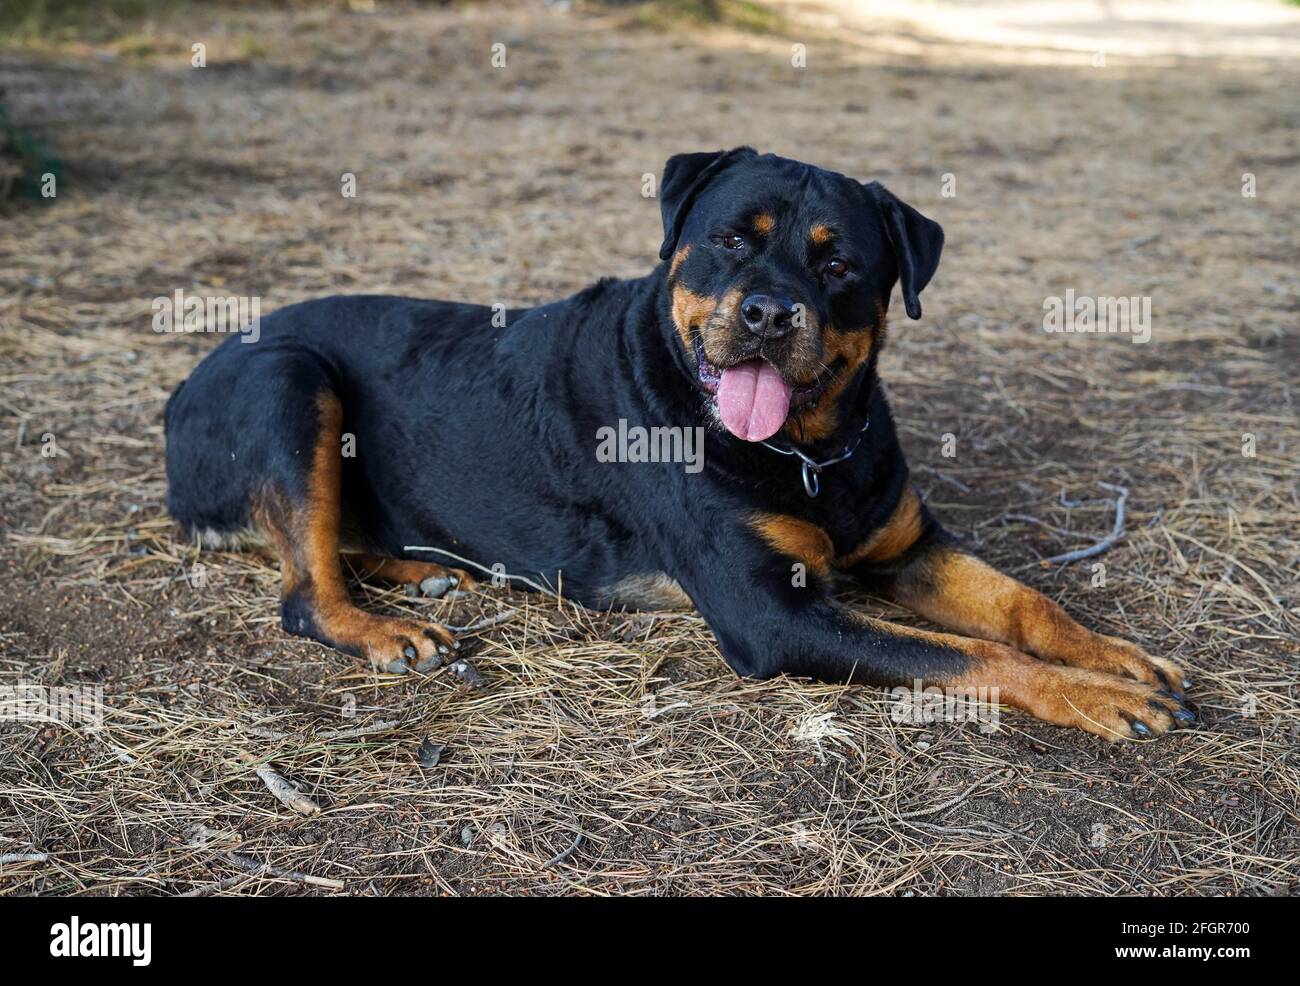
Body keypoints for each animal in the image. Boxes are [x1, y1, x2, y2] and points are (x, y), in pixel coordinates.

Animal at [165, 148, 1196, 738]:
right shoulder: (773, 615)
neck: (807, 452)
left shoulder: (909, 548)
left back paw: (422, 572)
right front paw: (1098, 697)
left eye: (838, 263)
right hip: (289, 379)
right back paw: (386, 628)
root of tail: (182, 385)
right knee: (303, 592)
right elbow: (969, 656)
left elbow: (1023, 606)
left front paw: (1113, 656)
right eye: (731, 241)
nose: (770, 312)